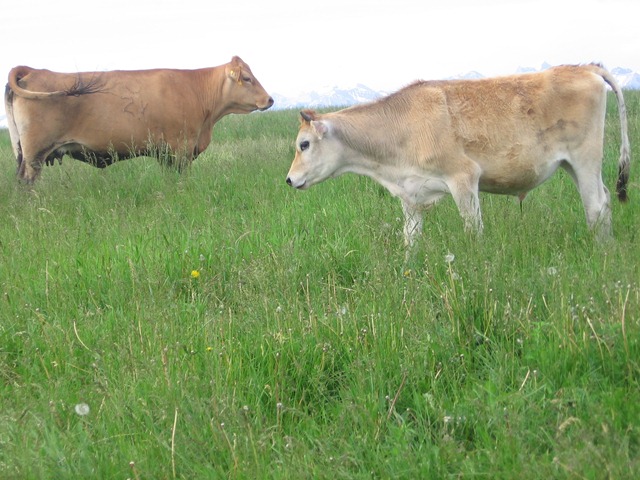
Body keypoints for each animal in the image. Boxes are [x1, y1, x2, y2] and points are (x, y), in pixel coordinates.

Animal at [4, 56, 274, 183]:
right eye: (247, 78)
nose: (270, 99)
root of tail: (33, 71)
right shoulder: (181, 149)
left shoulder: (166, 154)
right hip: (35, 154)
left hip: (21, 151)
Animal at [286, 63, 631, 247]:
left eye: (304, 144)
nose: (289, 180)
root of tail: (582, 67)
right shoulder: (411, 196)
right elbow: (410, 241)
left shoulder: (463, 179)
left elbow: (472, 229)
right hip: (571, 165)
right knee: (602, 201)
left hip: (585, 160)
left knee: (595, 205)